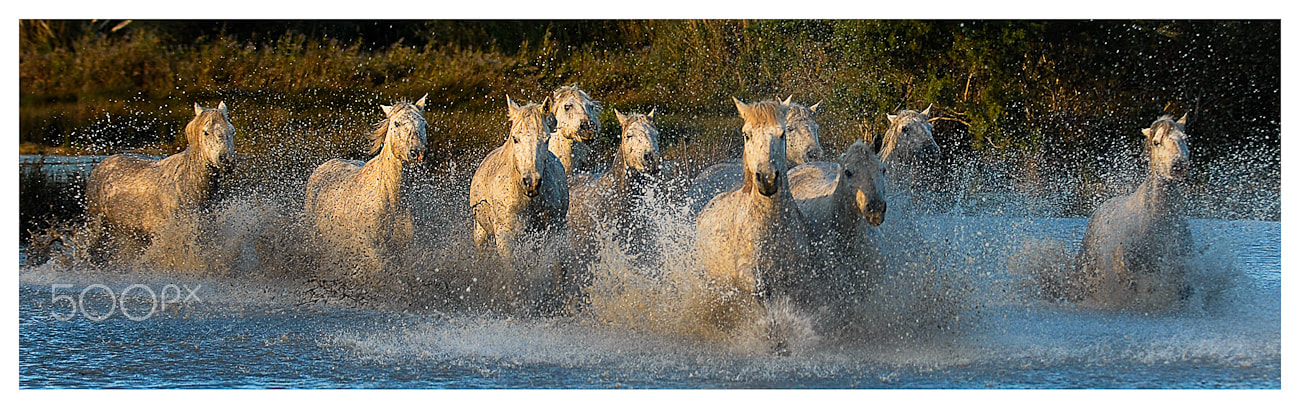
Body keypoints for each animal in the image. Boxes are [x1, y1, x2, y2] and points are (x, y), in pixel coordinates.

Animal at [85, 102, 238, 249]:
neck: (188, 185)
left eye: (232, 131)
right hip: (97, 226)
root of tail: (100, 166)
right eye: (206, 133)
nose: (227, 161)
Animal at [695, 98, 811, 318]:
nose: (767, 179)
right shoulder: (751, 278)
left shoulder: (795, 281)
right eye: (746, 135)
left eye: (783, 133)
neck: (772, 229)